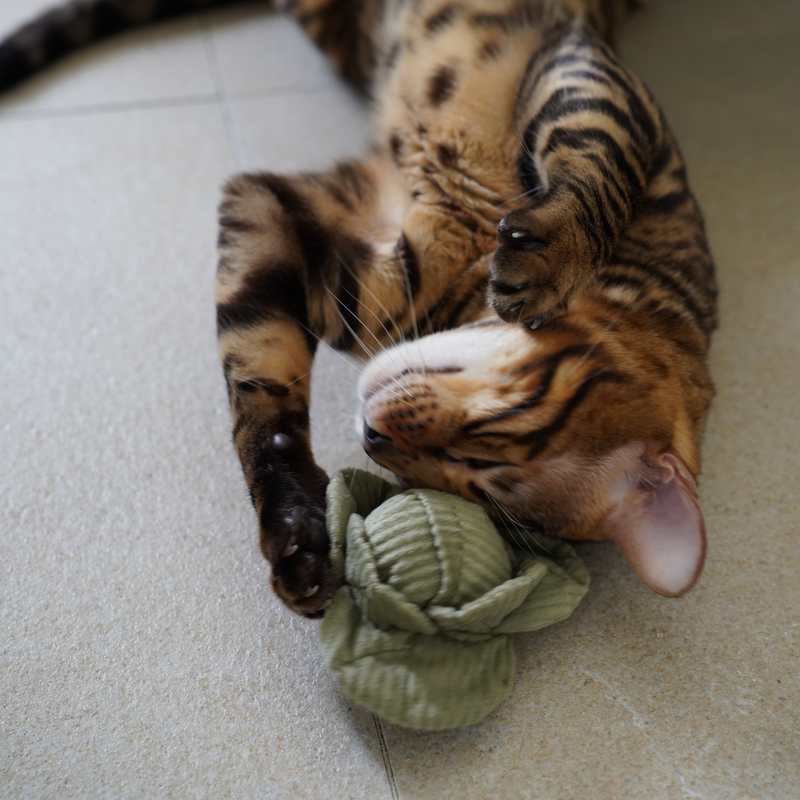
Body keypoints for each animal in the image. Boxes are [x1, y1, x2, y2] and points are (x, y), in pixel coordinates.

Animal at [1, 0, 720, 620]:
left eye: (474, 485)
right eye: (491, 456)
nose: (374, 437)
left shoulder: (292, 222)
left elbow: (260, 387)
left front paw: (296, 531)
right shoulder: (597, 89)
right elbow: (600, 170)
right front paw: (552, 259)